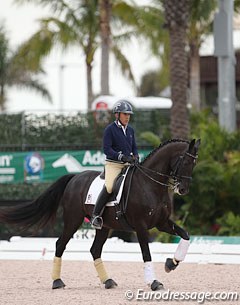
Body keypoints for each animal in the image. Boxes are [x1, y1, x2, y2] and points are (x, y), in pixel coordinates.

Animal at [0, 137, 201, 290]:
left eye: (194, 163)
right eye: (185, 161)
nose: (183, 189)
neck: (150, 184)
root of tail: (74, 177)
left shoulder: (162, 223)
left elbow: (185, 235)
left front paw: (171, 263)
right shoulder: (141, 226)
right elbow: (146, 253)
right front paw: (154, 282)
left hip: (104, 226)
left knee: (95, 250)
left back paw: (108, 281)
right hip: (73, 220)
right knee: (60, 244)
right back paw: (57, 282)